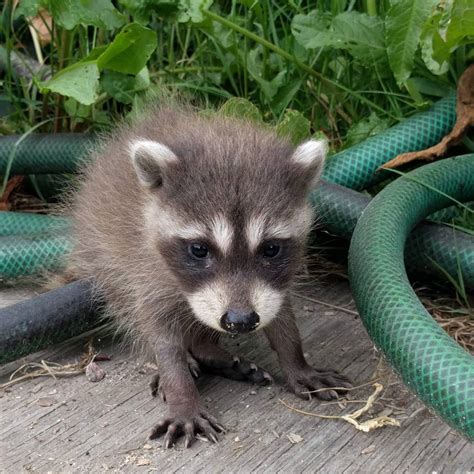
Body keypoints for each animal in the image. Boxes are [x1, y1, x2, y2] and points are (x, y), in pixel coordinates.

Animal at [71, 103, 352, 448]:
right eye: (199, 249)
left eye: (271, 249)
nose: (240, 321)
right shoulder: (146, 271)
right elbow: (161, 336)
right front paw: (180, 391)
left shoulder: (273, 285)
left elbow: (280, 317)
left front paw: (296, 362)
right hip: (105, 261)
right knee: (129, 312)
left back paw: (207, 349)